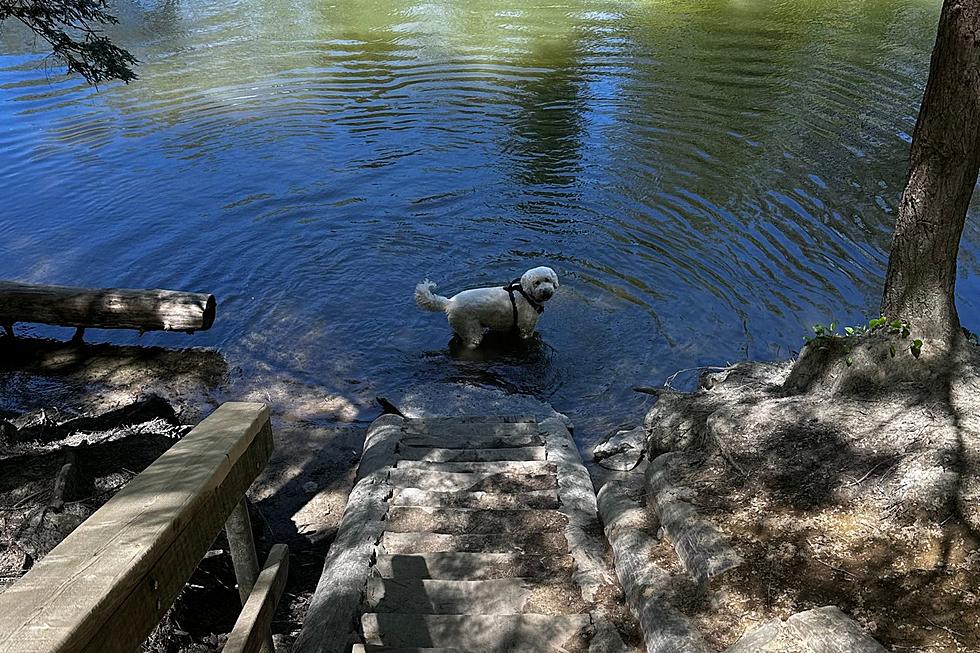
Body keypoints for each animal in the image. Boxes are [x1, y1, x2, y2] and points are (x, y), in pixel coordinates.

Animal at [418, 266, 564, 346]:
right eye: (536, 283)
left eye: (547, 280)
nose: (545, 291)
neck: (526, 294)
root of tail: (450, 302)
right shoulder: (526, 329)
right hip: (470, 330)